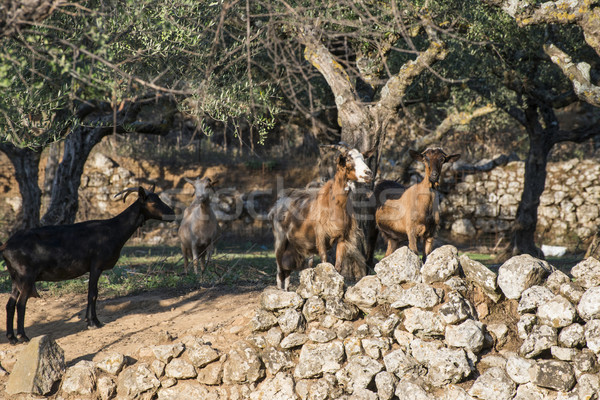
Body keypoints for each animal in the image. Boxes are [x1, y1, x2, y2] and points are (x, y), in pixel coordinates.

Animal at [2, 185, 175, 344]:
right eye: (153, 202)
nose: (172, 214)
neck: (113, 230)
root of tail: (5, 247)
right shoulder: (96, 265)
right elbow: (93, 293)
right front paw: (93, 322)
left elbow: (93, 293)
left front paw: (91, 320)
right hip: (26, 276)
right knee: (20, 304)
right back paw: (23, 336)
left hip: (15, 278)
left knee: (10, 304)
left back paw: (11, 338)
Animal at [270, 144, 372, 290]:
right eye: (347, 159)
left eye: (363, 158)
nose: (369, 174)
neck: (335, 205)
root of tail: (277, 205)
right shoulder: (321, 236)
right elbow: (325, 263)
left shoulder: (342, 238)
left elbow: (337, 267)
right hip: (280, 238)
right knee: (279, 271)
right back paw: (280, 290)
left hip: (292, 246)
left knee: (286, 271)